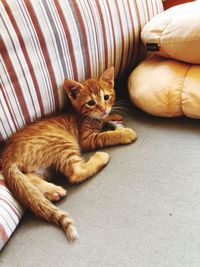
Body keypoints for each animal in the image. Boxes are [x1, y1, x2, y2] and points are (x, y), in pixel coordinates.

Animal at [1, 66, 136, 241]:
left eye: (106, 97)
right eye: (91, 103)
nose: (103, 109)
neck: (81, 114)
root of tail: (7, 155)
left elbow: (105, 120)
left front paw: (113, 115)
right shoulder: (87, 139)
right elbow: (106, 136)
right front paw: (124, 133)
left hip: (42, 167)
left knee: (28, 179)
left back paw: (53, 191)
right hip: (62, 143)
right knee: (76, 173)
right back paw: (100, 157)